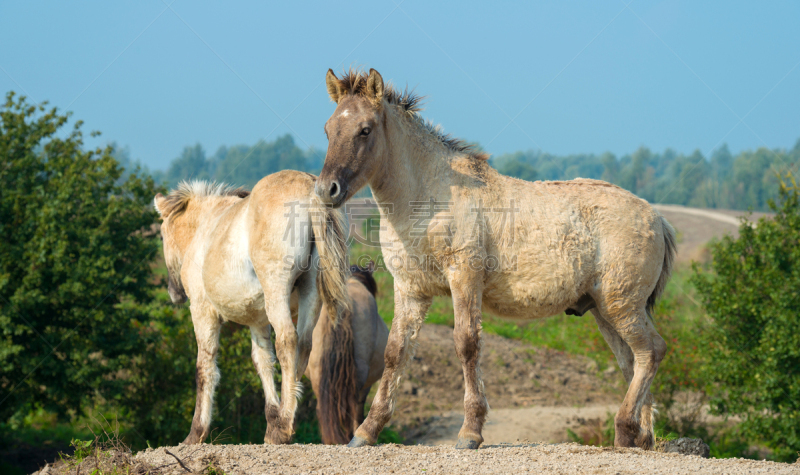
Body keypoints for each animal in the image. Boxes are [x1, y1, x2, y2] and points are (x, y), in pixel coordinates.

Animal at [153, 172, 346, 446]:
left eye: (162, 235)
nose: (174, 293)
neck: (206, 226)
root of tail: (309, 188)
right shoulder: (258, 321)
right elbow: (263, 362)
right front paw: (272, 420)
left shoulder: (202, 312)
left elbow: (205, 369)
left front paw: (196, 432)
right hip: (311, 294)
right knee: (303, 345)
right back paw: (282, 420)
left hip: (277, 290)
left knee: (288, 340)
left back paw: (285, 425)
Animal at [316, 69, 680, 452]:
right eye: (328, 129)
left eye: (365, 129)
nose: (327, 190)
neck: (428, 195)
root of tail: (657, 217)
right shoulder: (410, 289)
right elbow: (395, 352)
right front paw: (366, 431)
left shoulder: (464, 277)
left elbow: (466, 344)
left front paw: (470, 432)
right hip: (604, 311)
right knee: (632, 360)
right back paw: (638, 437)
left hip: (621, 305)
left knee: (651, 351)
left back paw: (625, 428)